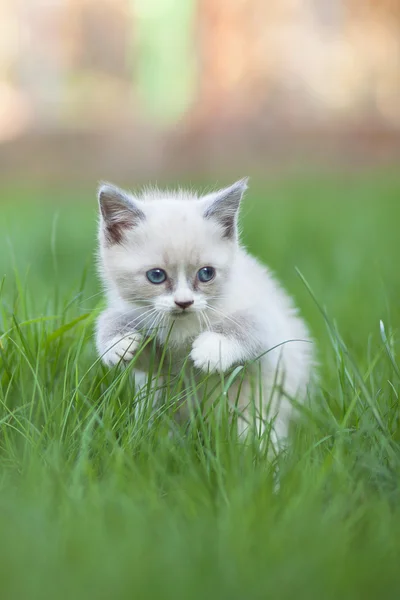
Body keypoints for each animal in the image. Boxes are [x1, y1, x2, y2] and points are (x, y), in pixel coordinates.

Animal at [95, 178, 314, 446]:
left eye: (206, 273)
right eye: (156, 276)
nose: (184, 302)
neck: (181, 327)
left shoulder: (268, 331)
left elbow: (245, 325)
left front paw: (211, 350)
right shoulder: (155, 361)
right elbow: (111, 320)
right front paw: (119, 343)